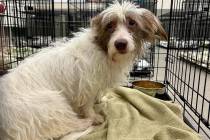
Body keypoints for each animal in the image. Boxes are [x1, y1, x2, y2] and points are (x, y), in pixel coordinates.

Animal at [0, 1, 167, 140]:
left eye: (132, 23)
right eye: (109, 26)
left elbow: (98, 95)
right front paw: (93, 116)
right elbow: (87, 104)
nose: (120, 44)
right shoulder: (86, 86)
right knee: (65, 126)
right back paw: (87, 122)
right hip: (53, 104)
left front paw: (100, 99)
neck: (103, 50)